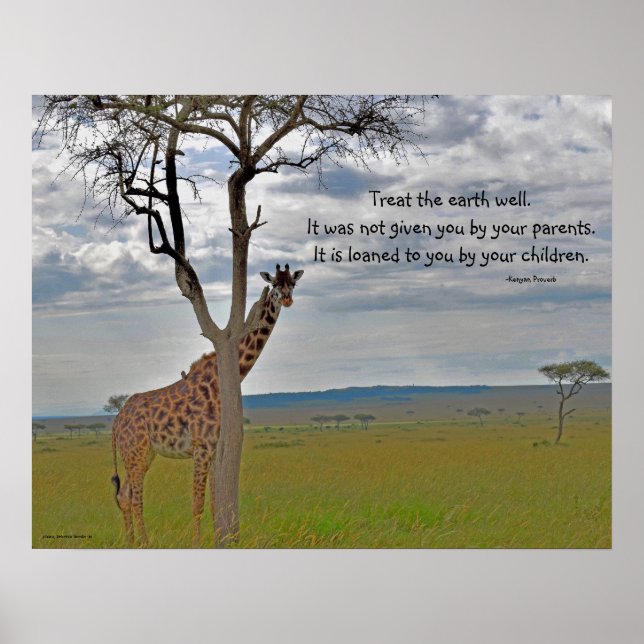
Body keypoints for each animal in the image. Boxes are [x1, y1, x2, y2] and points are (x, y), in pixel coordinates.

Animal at [110, 264, 303, 547]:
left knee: (124, 494)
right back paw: (144, 542)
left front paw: (218, 541)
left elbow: (214, 505)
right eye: (275, 284)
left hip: (143, 454)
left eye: (293, 283)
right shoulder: (201, 447)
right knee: (135, 497)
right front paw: (197, 544)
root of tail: (116, 421)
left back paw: (131, 542)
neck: (218, 382)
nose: (288, 299)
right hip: (134, 451)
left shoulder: (213, 448)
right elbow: (197, 504)